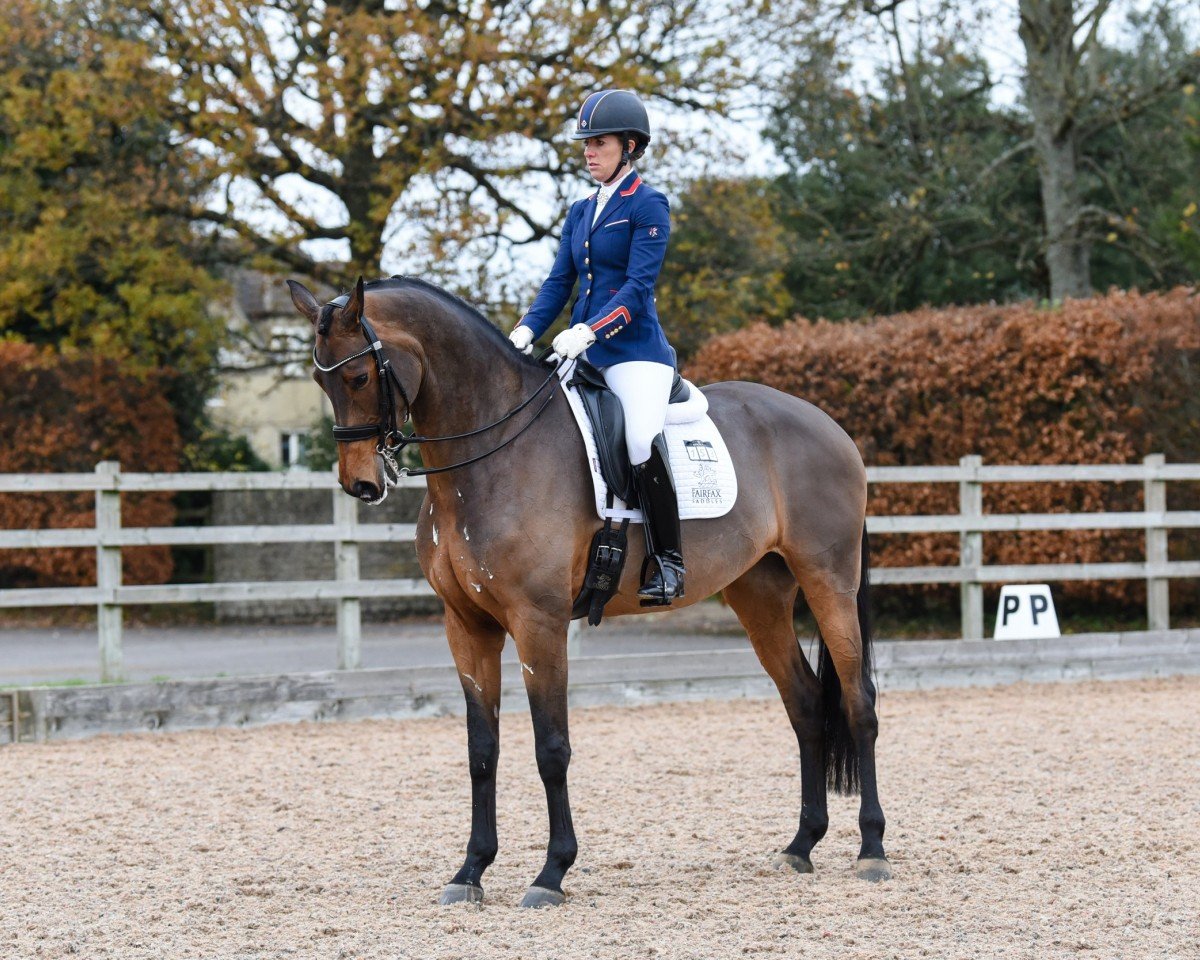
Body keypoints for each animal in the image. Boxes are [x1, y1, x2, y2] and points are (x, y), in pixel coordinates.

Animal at [288, 275, 889, 908]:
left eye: (358, 377)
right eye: (320, 381)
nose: (360, 485)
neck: (494, 451)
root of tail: (832, 428)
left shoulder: (540, 622)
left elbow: (552, 748)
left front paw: (551, 872)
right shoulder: (466, 624)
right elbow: (482, 750)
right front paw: (470, 871)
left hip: (828, 581)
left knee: (859, 702)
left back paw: (871, 849)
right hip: (760, 596)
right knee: (804, 703)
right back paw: (801, 845)